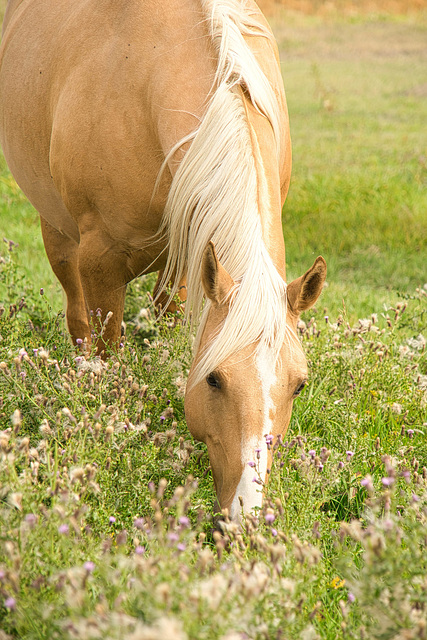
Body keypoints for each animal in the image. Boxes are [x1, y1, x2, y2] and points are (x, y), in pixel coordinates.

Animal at [0, 0, 328, 520]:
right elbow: (106, 353)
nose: (246, 515)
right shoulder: (100, 264)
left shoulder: (189, 265)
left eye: (298, 385)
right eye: (214, 380)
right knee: (76, 316)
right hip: (58, 232)